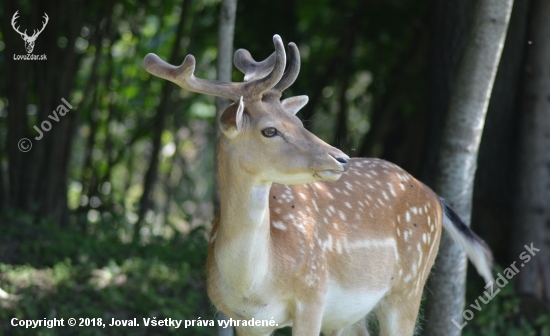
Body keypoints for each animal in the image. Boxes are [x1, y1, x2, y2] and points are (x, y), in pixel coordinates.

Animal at [144, 34, 494, 336]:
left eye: (298, 121)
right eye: (270, 130)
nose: (341, 158)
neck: (253, 283)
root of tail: (435, 197)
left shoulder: (313, 296)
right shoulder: (245, 320)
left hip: (408, 286)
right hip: (351, 315)